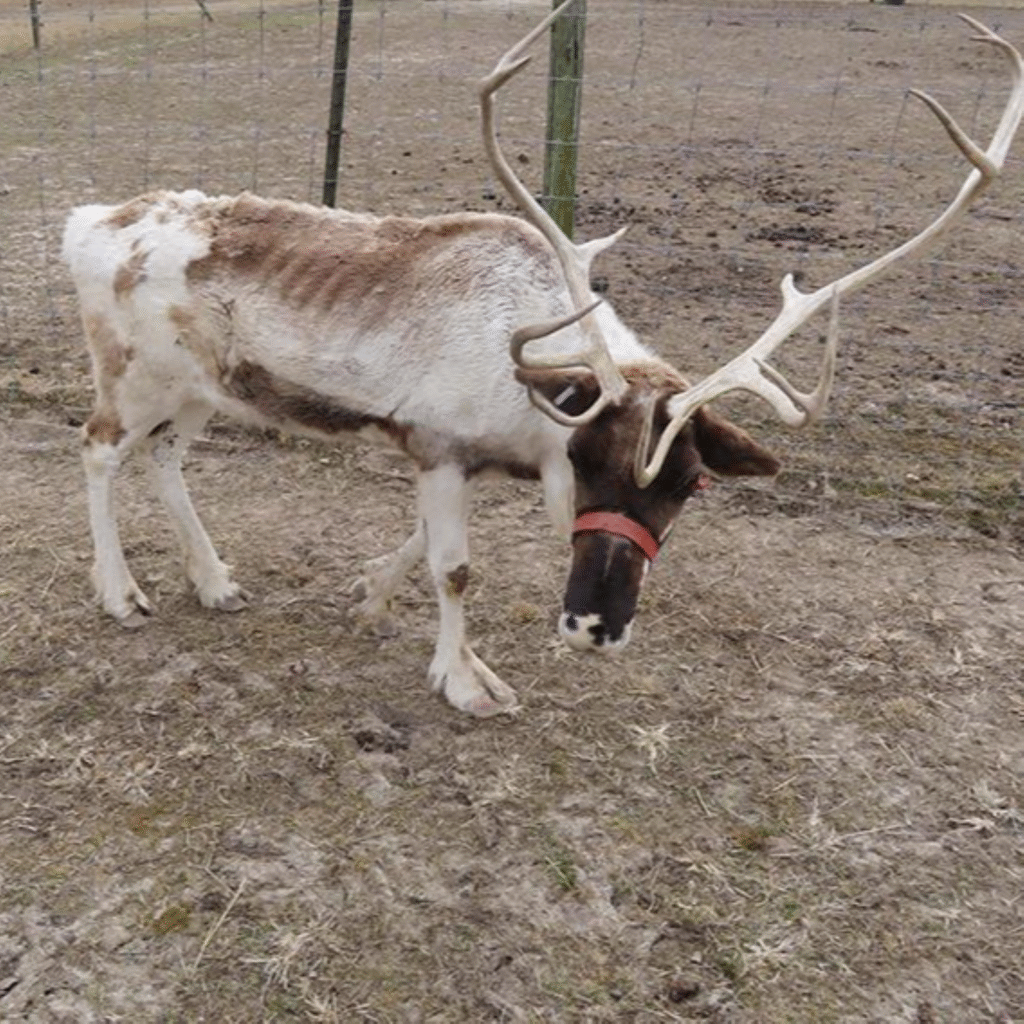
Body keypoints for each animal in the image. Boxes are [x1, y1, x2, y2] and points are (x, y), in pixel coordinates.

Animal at [61, 2, 1023, 717]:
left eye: (694, 483)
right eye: (587, 455)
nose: (595, 625)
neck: (526, 409)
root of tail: (86, 221)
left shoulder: (460, 461)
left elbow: (417, 544)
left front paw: (369, 598)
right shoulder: (440, 447)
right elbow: (455, 567)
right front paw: (465, 681)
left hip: (200, 387)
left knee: (166, 458)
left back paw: (214, 579)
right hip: (129, 371)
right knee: (99, 448)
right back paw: (121, 594)